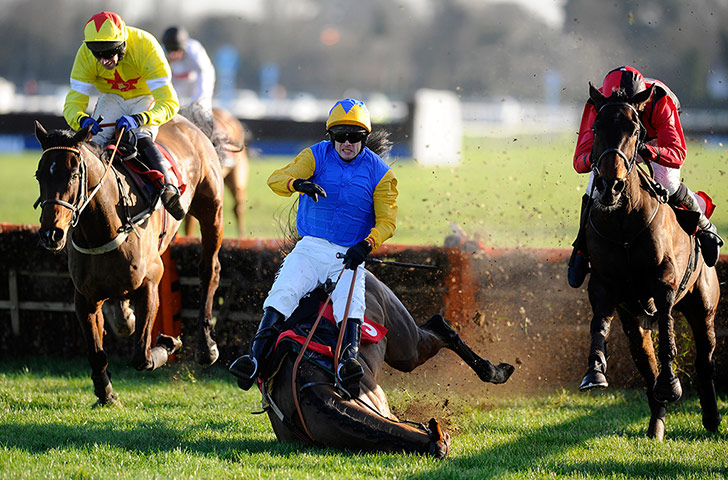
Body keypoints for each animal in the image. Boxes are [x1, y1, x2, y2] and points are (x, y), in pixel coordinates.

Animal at [34, 116, 222, 404]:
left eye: (74, 175)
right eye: (39, 175)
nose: (50, 234)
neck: (104, 229)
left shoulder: (150, 282)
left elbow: (142, 357)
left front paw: (168, 343)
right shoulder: (85, 296)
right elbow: (96, 352)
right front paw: (106, 392)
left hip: (212, 210)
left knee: (209, 270)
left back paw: (206, 346)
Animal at [262, 270, 512, 458]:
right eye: (447, 441)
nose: (448, 442)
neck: (306, 389)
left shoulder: (384, 409)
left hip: (405, 345)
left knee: (439, 326)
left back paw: (496, 372)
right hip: (406, 349)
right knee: (437, 326)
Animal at [576, 85, 720, 438]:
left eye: (635, 130)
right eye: (595, 128)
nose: (609, 185)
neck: (624, 223)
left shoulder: (664, 280)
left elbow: (667, 329)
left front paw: (671, 384)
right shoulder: (605, 285)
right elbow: (599, 323)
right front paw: (594, 371)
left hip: (704, 307)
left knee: (704, 361)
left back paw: (711, 417)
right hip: (636, 322)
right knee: (646, 364)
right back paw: (657, 423)